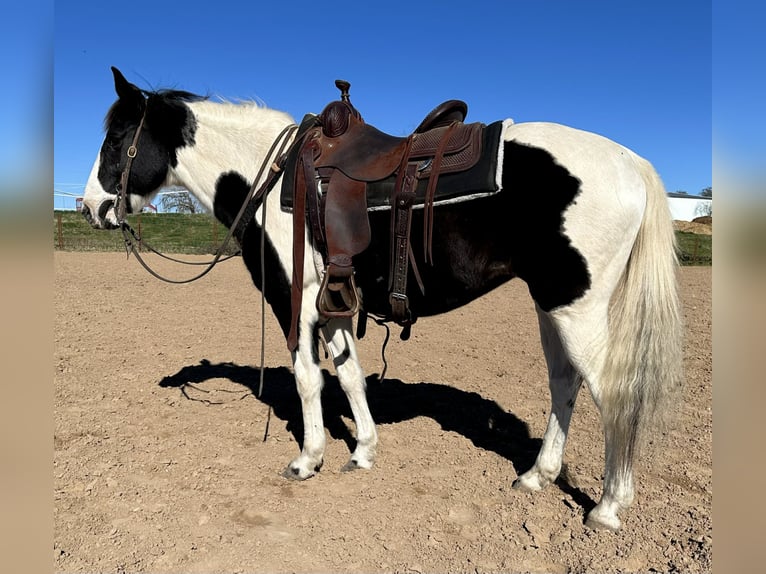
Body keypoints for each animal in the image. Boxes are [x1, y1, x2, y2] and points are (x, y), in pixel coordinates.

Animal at [81, 67, 682, 532]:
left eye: (114, 141)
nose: (91, 208)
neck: (273, 179)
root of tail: (631, 163)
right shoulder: (332, 305)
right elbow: (349, 377)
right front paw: (364, 451)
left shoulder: (295, 303)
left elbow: (308, 379)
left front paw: (308, 460)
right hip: (551, 306)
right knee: (565, 383)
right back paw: (537, 476)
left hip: (575, 307)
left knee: (613, 394)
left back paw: (607, 507)